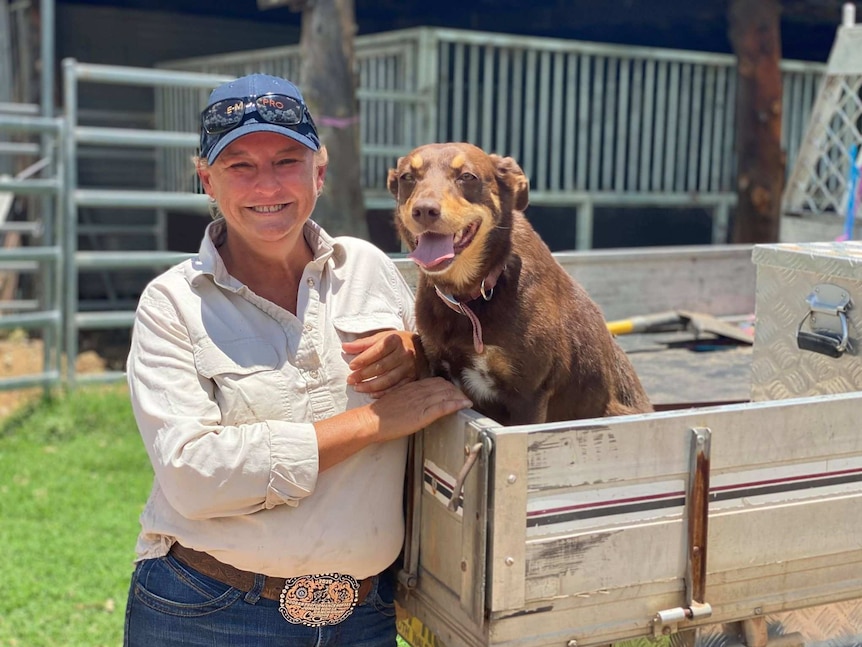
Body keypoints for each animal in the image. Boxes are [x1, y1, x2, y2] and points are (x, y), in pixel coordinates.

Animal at [388, 142, 652, 426]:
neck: (472, 295)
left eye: (467, 176)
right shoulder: (440, 369)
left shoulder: (529, 394)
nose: (425, 210)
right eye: (407, 177)